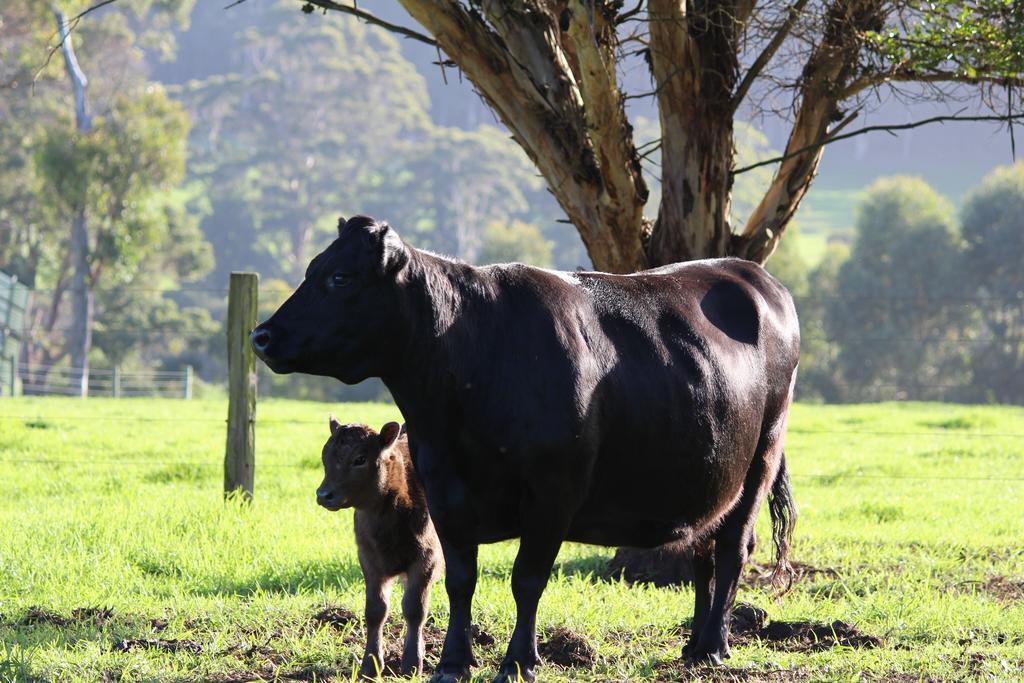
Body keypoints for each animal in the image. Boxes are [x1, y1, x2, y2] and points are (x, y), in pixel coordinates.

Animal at [311, 419, 440, 675]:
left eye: (360, 458)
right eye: (325, 456)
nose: (323, 495)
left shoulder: (426, 559)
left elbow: (415, 608)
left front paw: (412, 663)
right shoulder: (369, 559)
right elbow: (376, 610)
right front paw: (371, 663)